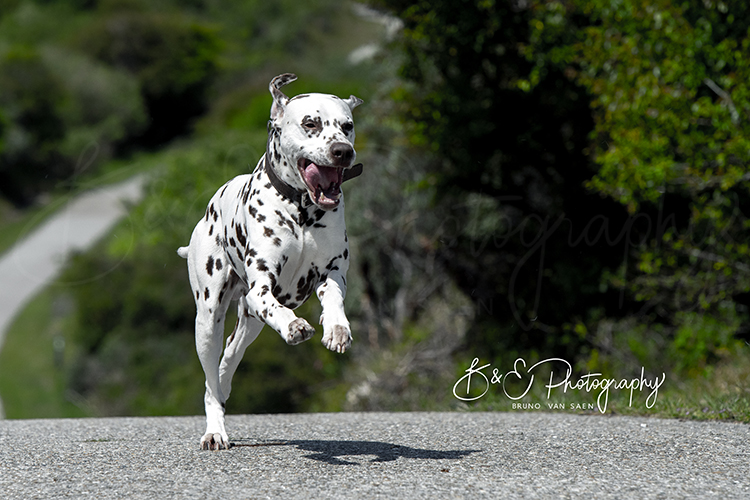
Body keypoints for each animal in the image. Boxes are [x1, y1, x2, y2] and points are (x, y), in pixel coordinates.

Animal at [177, 73, 364, 450]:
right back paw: (215, 430)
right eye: (310, 123)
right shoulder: (260, 287)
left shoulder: (333, 273)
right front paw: (294, 326)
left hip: (249, 325)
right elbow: (276, 306)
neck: (302, 210)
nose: (342, 151)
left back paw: (225, 384)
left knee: (228, 359)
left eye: (347, 125)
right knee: (209, 380)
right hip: (208, 320)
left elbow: (333, 297)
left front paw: (337, 329)